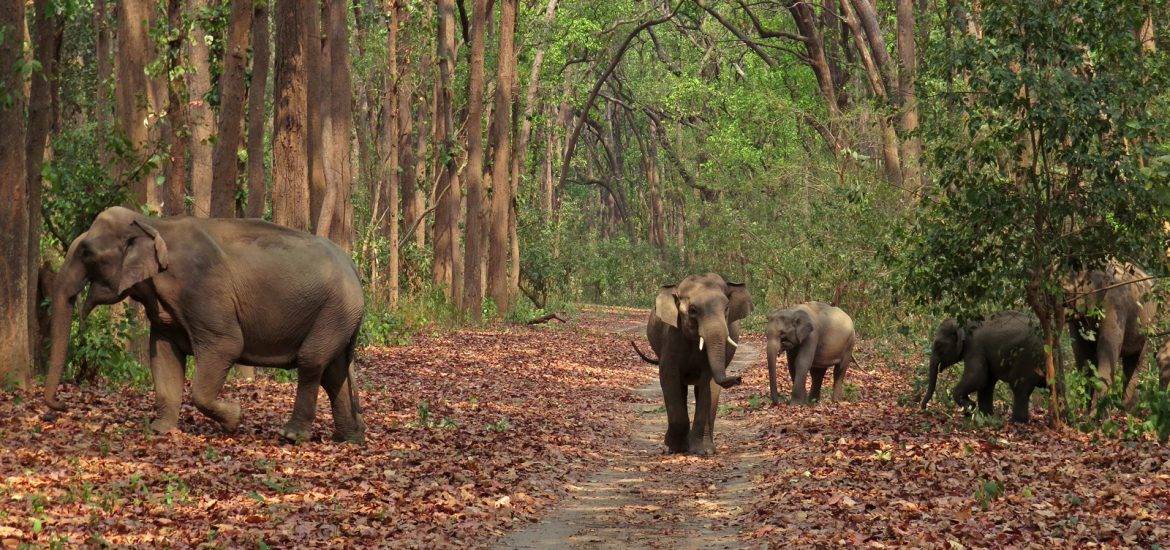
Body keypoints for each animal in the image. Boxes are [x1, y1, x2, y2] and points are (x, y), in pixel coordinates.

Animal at [44, 205, 365, 442]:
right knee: (333, 371)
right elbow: (162, 354)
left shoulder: (203, 291)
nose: (60, 406)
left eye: (86, 252)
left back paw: (292, 436)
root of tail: (352, 266)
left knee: (311, 362)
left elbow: (227, 345)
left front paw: (235, 419)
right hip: (338, 316)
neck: (154, 224)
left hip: (335, 310)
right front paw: (159, 429)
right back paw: (348, 439)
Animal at [631, 271, 748, 456]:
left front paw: (702, 451)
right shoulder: (671, 337)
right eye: (693, 310)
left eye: (726, 309)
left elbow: (708, 383)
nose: (738, 378)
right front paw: (675, 448)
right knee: (682, 388)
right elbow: (669, 377)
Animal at [921, 311, 1053, 423]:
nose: (924, 408)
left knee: (1020, 388)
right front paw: (984, 415)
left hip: (1027, 357)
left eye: (938, 345)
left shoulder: (975, 347)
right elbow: (986, 383)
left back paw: (1017, 422)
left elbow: (977, 377)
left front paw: (970, 407)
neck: (966, 321)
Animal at [1067, 260, 1155, 407]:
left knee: (1135, 362)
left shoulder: (1115, 304)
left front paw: (1096, 412)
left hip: (1149, 326)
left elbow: (1106, 354)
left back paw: (1125, 409)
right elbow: (1083, 356)